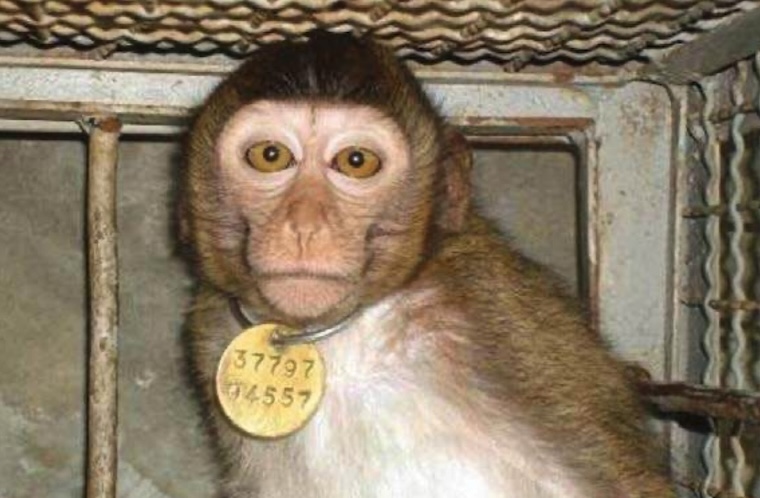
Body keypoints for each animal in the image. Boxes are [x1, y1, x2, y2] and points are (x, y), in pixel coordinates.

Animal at [178, 31, 676, 498]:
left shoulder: (503, 314)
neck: (339, 335)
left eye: (356, 161)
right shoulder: (212, 328)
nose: (304, 225)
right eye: (270, 155)